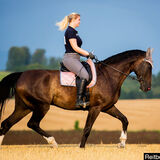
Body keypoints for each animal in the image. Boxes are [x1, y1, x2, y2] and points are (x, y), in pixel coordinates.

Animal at [0, 48, 152, 148]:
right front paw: (81, 148)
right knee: (32, 123)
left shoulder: (108, 107)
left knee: (7, 123)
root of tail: (21, 75)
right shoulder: (95, 108)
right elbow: (87, 128)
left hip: (24, 107)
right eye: (148, 66)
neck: (109, 75)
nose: (148, 88)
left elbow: (124, 119)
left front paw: (122, 143)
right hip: (41, 106)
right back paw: (53, 142)